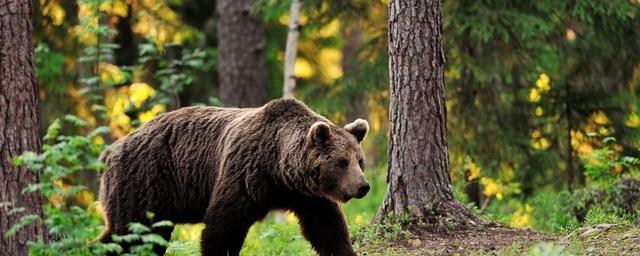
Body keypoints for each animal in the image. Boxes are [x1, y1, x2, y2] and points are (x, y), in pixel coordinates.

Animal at [97, 97, 372, 254]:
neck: (279, 170)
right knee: (129, 230)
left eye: (360, 161)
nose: (363, 186)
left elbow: (327, 228)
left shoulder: (308, 195)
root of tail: (110, 151)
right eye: (342, 162)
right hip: (145, 180)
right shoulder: (244, 174)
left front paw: (345, 250)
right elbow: (222, 227)